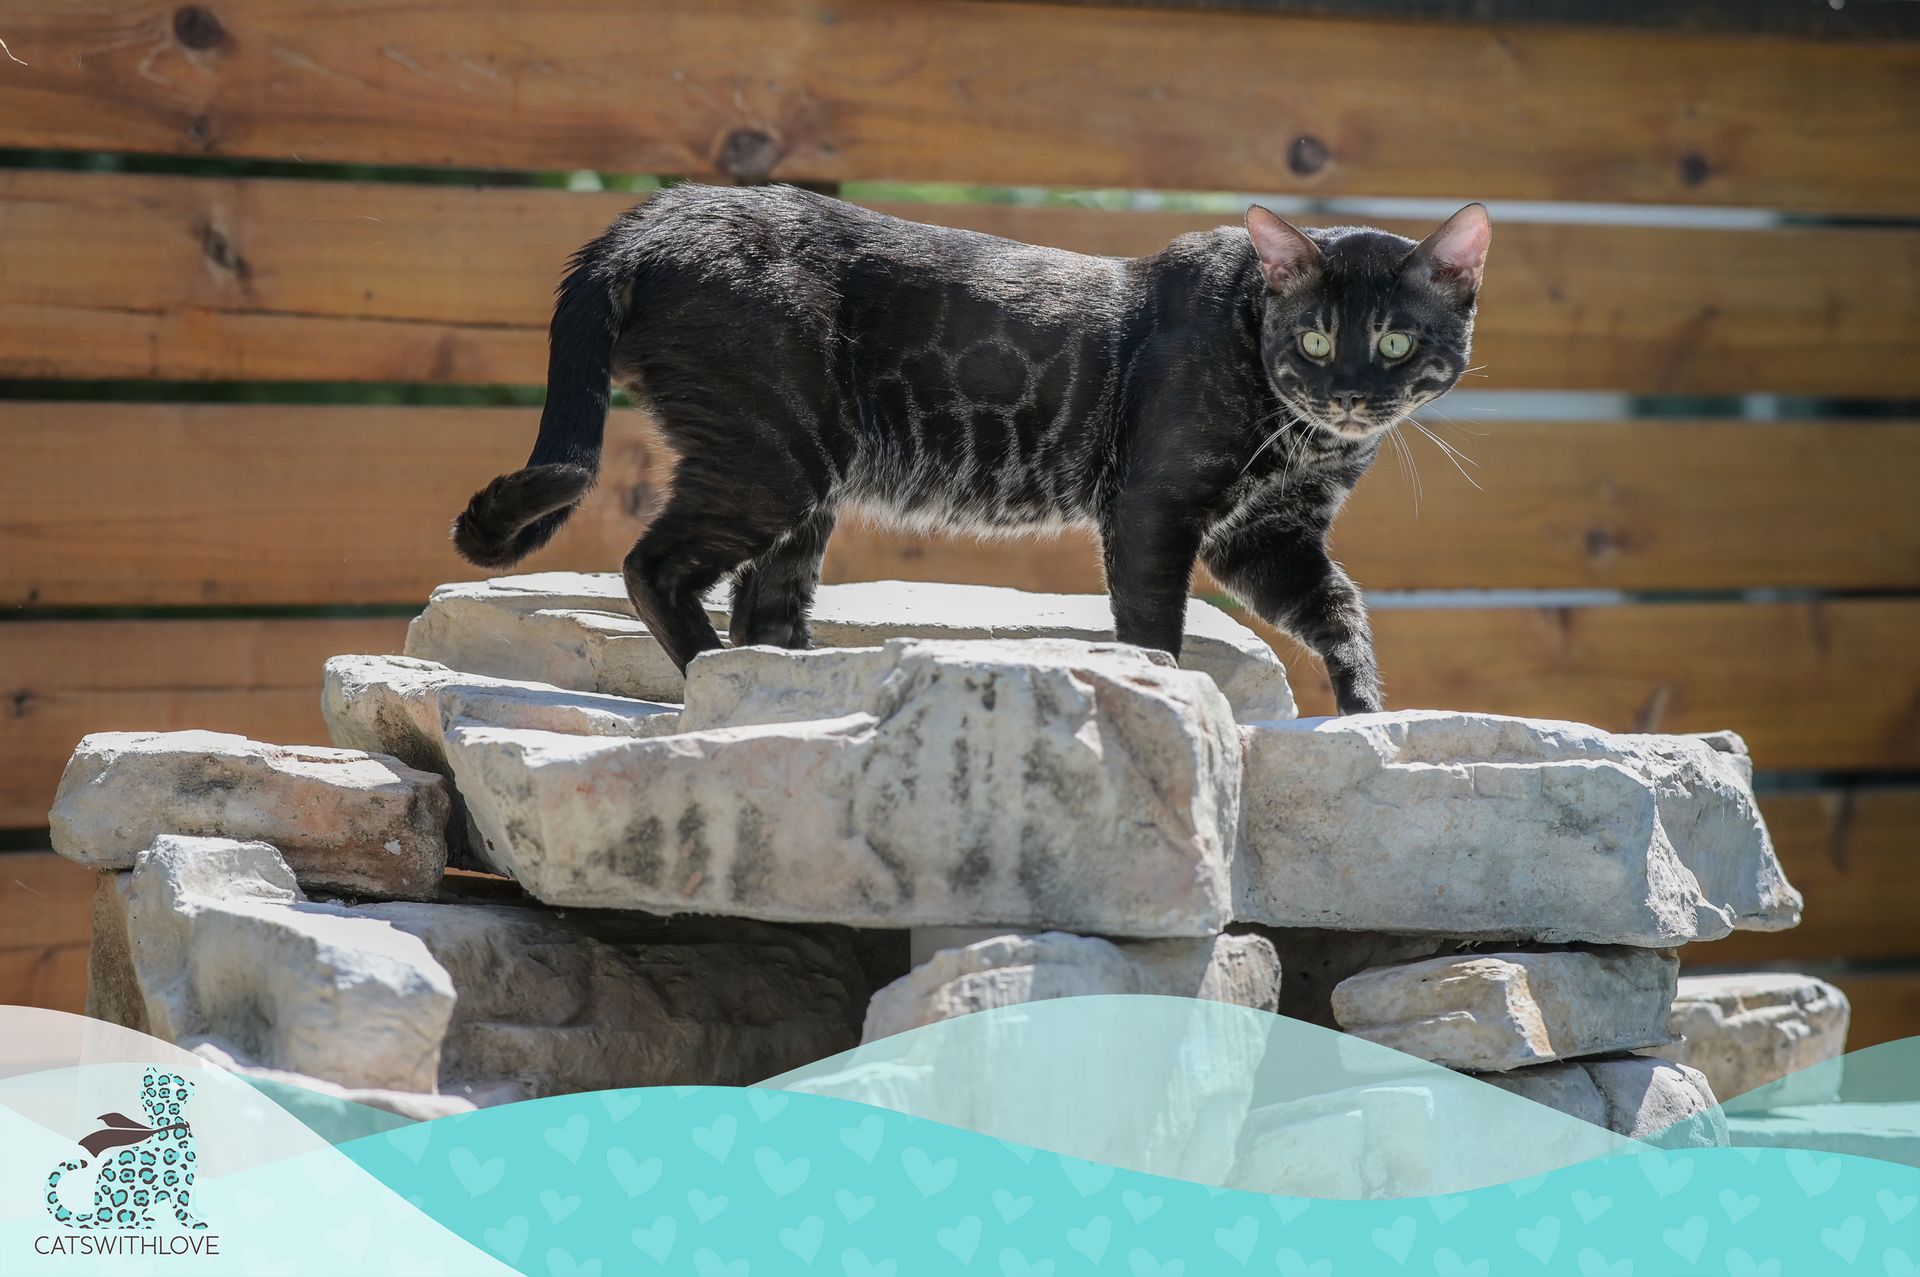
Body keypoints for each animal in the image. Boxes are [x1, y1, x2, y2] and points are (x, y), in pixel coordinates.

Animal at [456, 184, 1489, 710]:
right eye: (1313, 339)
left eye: (1395, 342)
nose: (1350, 391)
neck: (1307, 438)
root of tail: (651, 217)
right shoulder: (1155, 509)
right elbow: (1153, 631)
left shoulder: (1268, 535)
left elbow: (1340, 611)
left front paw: (1367, 720)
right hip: (771, 459)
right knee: (653, 565)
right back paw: (712, 683)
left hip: (800, 494)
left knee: (765, 613)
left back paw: (790, 694)